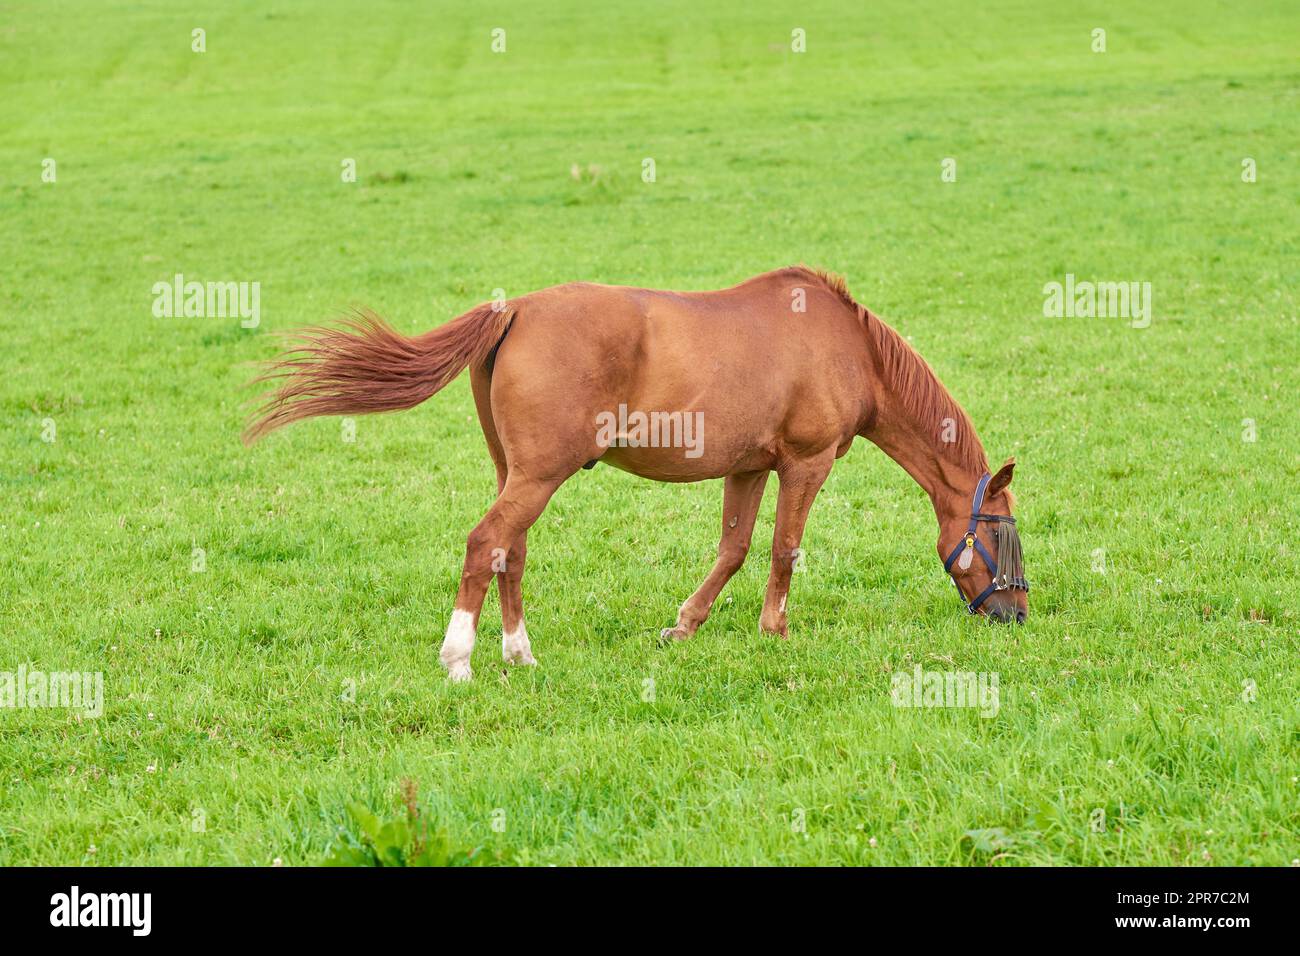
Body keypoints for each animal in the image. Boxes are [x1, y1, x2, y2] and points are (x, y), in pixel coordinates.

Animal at [248, 267, 1029, 681]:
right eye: (1004, 532)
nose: (1016, 615)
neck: (848, 349)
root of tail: (514, 310)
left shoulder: (748, 469)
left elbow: (734, 549)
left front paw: (684, 626)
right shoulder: (803, 465)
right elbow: (783, 550)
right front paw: (774, 631)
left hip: (516, 474)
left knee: (509, 553)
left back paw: (519, 653)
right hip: (538, 477)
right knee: (485, 544)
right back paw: (460, 657)